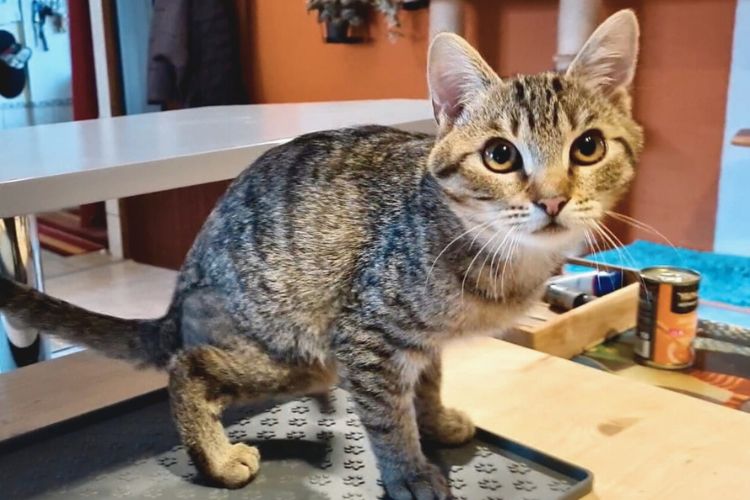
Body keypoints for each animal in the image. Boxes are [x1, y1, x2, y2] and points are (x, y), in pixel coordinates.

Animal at [0, 9, 643, 500]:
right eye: (500, 156)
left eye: (588, 147)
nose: (552, 199)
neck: (489, 251)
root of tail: (177, 298)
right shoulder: (366, 333)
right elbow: (387, 418)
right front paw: (409, 471)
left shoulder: (419, 341)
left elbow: (427, 380)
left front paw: (435, 420)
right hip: (304, 352)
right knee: (187, 366)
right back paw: (216, 457)